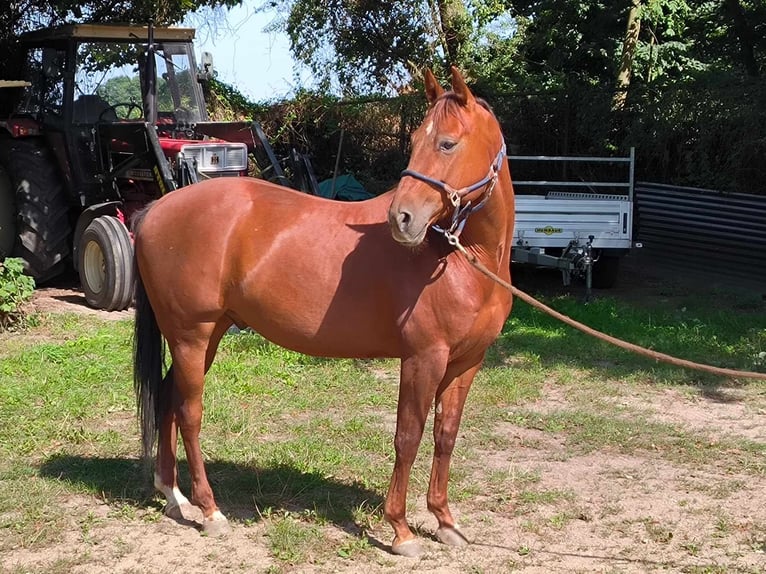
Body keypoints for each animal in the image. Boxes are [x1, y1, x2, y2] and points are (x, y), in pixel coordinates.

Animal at [134, 67, 516, 560]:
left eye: (447, 143)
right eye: (416, 140)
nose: (402, 218)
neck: (463, 258)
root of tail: (154, 209)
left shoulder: (466, 362)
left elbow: (445, 435)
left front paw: (445, 521)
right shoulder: (423, 359)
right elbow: (407, 436)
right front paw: (401, 529)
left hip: (205, 336)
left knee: (165, 399)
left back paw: (174, 496)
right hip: (191, 337)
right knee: (189, 412)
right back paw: (209, 509)